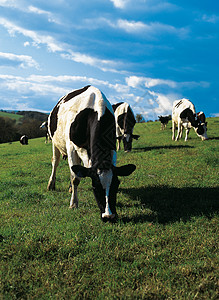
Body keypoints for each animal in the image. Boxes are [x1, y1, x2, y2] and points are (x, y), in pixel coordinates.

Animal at [46, 85, 135, 221]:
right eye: (95, 186)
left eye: (116, 184)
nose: (108, 216)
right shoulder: (71, 148)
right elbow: (75, 178)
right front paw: (73, 204)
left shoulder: (112, 147)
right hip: (55, 142)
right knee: (55, 162)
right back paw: (51, 184)